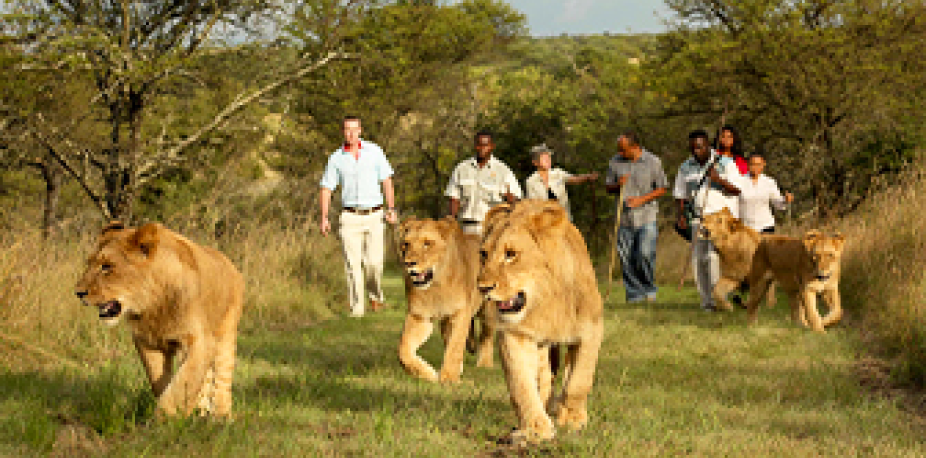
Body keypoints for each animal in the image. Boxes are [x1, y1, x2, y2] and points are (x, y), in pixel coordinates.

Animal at [75, 222, 245, 417]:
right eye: (89, 264)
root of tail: (229, 262)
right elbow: (161, 381)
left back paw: (221, 416)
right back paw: (201, 412)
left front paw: (165, 419)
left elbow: (184, 381)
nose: (78, 292)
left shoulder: (200, 342)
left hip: (226, 335)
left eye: (106, 266)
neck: (154, 305)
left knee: (222, 380)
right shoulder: (148, 342)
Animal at [397, 216, 495, 384]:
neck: (436, 286)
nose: (408, 263)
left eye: (427, 243)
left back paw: (485, 364)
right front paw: (427, 373)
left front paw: (449, 377)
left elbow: (455, 346)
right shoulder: (419, 316)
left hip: (488, 310)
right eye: (406, 244)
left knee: (486, 336)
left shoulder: (460, 314)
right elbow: (403, 350)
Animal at [477, 199, 603, 445]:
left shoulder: (591, 330)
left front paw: (572, 419)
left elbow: (579, 381)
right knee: (543, 379)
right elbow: (521, 384)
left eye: (510, 254)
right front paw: (536, 428)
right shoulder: (516, 334)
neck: (545, 301)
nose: (483, 288)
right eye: (484, 254)